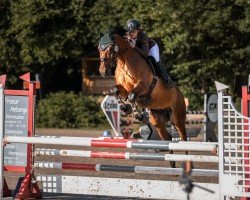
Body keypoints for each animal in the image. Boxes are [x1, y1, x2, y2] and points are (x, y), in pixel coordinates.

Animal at [97, 29, 188, 167]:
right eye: (99, 48)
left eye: (111, 47)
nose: (103, 72)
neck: (124, 62)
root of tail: (180, 93)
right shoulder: (123, 89)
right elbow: (115, 90)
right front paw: (125, 108)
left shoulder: (143, 87)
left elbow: (132, 96)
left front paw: (137, 114)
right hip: (157, 120)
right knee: (167, 138)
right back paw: (172, 163)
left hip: (177, 117)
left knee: (183, 138)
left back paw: (189, 163)